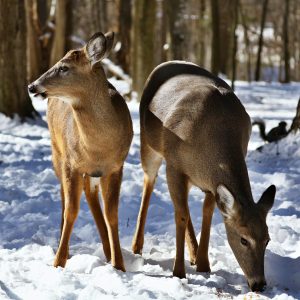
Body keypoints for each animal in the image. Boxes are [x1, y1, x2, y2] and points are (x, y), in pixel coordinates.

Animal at [28, 31, 133, 270]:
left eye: (64, 67)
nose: (32, 86)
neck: (98, 148)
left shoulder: (116, 167)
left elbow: (112, 214)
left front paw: (119, 265)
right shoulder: (71, 163)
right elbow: (71, 210)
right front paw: (59, 261)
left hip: (91, 171)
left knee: (90, 194)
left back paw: (107, 252)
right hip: (57, 152)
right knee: (64, 197)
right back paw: (64, 246)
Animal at [132, 59, 276, 292]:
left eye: (268, 239)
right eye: (243, 239)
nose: (259, 284)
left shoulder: (209, 182)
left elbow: (206, 213)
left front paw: (203, 264)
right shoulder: (174, 165)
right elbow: (180, 215)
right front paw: (178, 272)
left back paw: (193, 253)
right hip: (149, 144)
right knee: (149, 183)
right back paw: (136, 246)